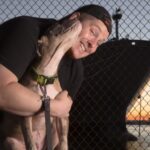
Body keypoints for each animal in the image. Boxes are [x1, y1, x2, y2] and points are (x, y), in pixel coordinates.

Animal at [0, 18, 82, 149]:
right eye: (57, 25)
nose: (76, 17)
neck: (45, 77)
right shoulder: (25, 111)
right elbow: (29, 141)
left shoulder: (63, 115)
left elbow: (64, 141)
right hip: (10, 142)